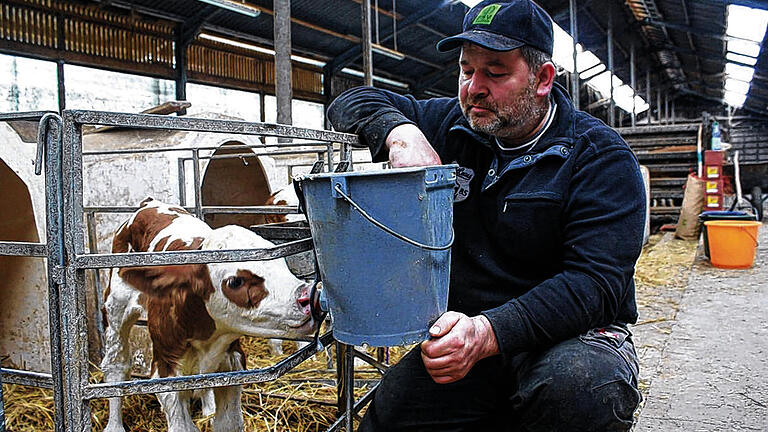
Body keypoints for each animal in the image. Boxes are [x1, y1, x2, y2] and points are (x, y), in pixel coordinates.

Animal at [101, 198, 316, 432]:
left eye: (281, 263)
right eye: (235, 281)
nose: (308, 295)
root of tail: (148, 203)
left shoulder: (232, 360)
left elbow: (228, 422)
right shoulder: (165, 369)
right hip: (116, 308)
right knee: (116, 364)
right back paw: (114, 425)